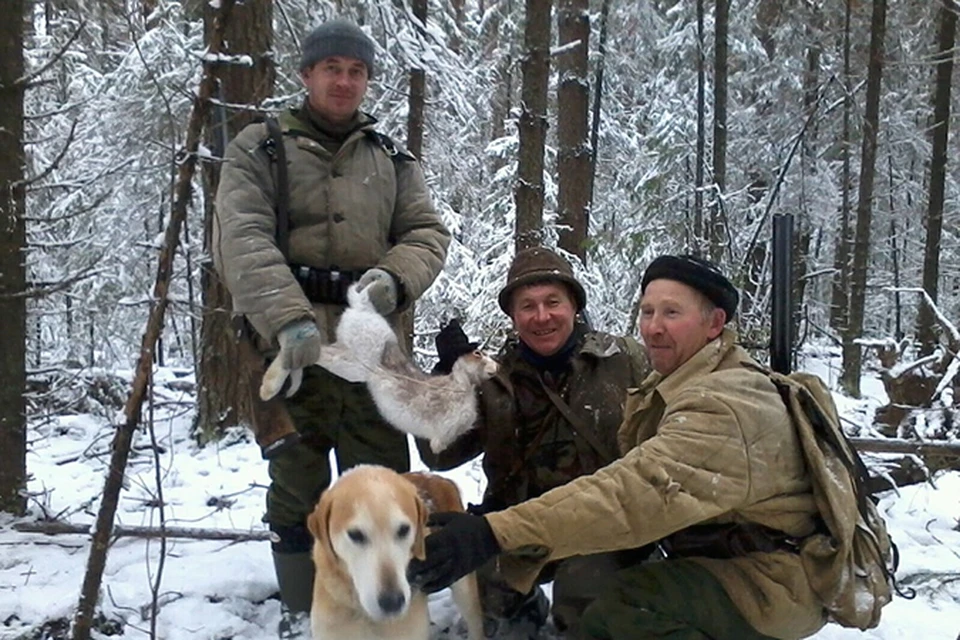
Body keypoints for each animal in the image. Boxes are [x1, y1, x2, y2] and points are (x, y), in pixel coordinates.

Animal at [308, 464, 484, 640]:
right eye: (355, 534)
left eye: (404, 530)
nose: (392, 602)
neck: (366, 616)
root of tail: (439, 478)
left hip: (464, 589)